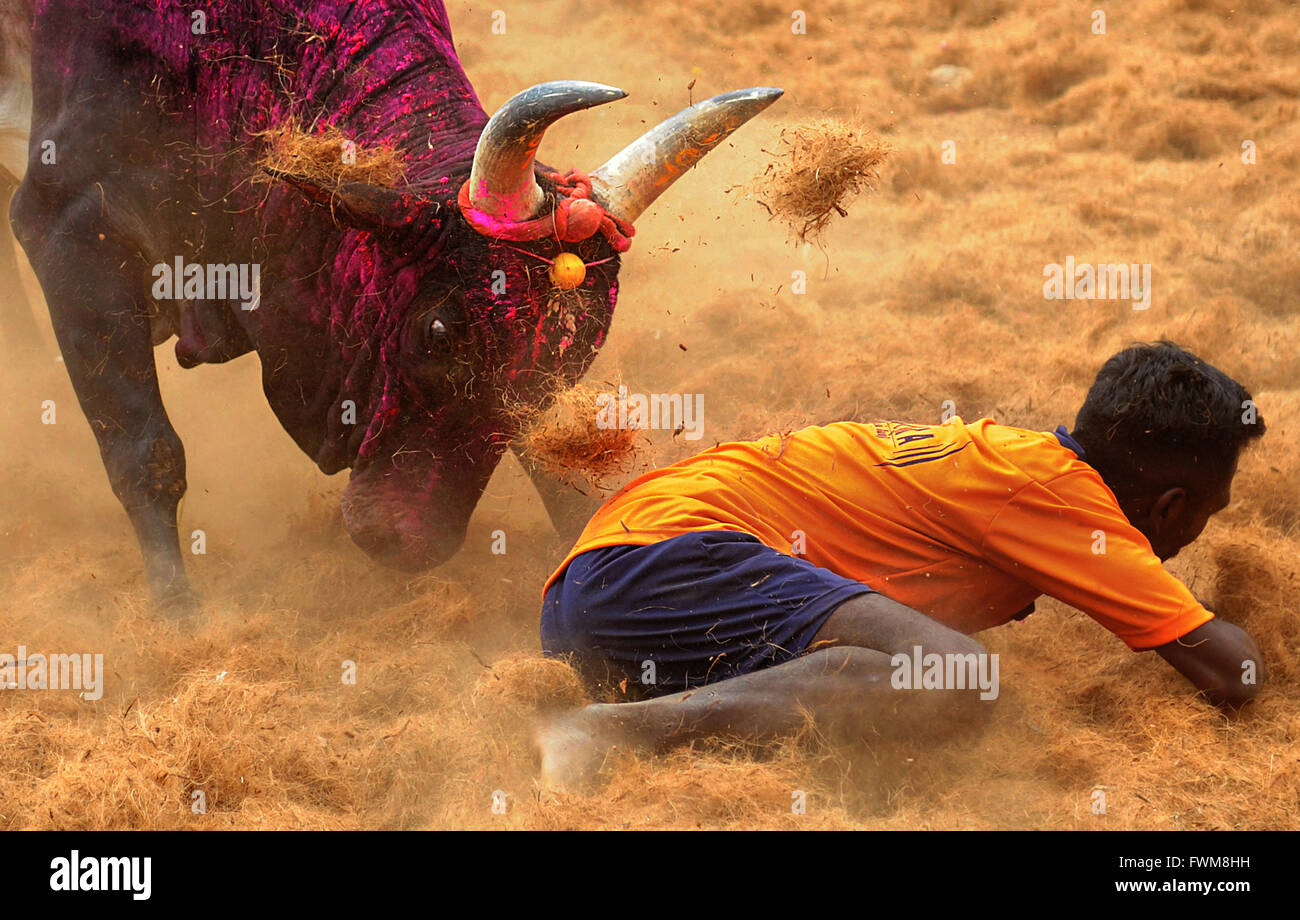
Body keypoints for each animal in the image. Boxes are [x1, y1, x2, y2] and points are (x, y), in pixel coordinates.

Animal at [7, 5, 780, 618]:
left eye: (580, 353)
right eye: (437, 332)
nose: (414, 545)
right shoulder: (65, 227)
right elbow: (146, 451)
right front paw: (178, 615)